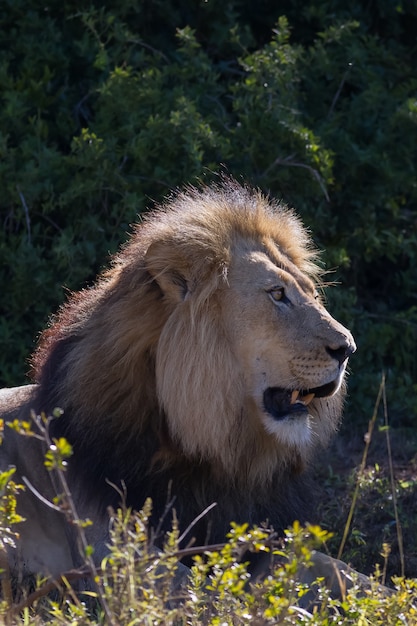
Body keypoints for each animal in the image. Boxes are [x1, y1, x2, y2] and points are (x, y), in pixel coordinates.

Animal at [0, 179, 358, 588]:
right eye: (278, 294)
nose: (348, 348)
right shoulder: (108, 548)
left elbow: (337, 569)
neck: (225, 454)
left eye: (312, 294)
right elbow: (200, 586)